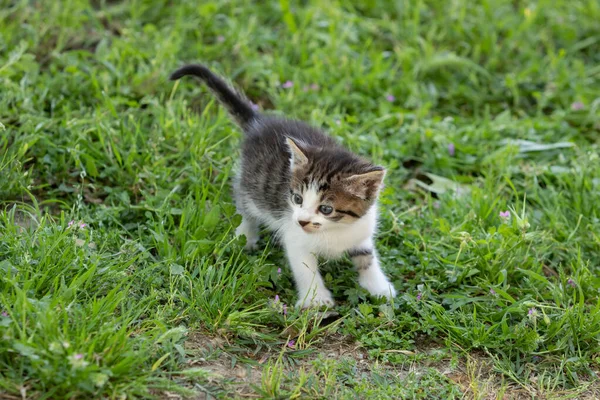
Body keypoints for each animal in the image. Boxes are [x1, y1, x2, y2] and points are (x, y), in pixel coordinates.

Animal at [170, 64, 394, 308]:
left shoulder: (361, 233)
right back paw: (246, 236)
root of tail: (259, 123)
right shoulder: (295, 238)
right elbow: (306, 269)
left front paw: (380, 288)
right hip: (252, 185)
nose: (302, 221)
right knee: (244, 205)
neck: (335, 230)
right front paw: (315, 300)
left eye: (326, 209)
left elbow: (367, 258)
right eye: (297, 199)